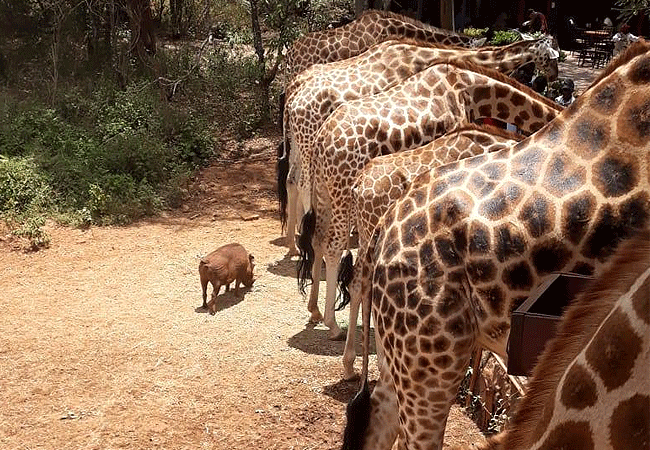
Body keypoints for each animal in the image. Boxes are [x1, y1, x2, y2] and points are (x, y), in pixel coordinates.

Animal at [278, 36, 556, 255]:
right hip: (309, 148)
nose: (553, 78)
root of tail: (291, 99)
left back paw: (293, 244)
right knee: (304, 188)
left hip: (298, 144)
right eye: (553, 55)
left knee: (291, 179)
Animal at [294, 59, 560, 342]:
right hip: (341, 193)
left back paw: (315, 311)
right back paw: (333, 325)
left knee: (318, 238)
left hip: (324, 190)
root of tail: (322, 140)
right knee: (335, 248)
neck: (470, 87)